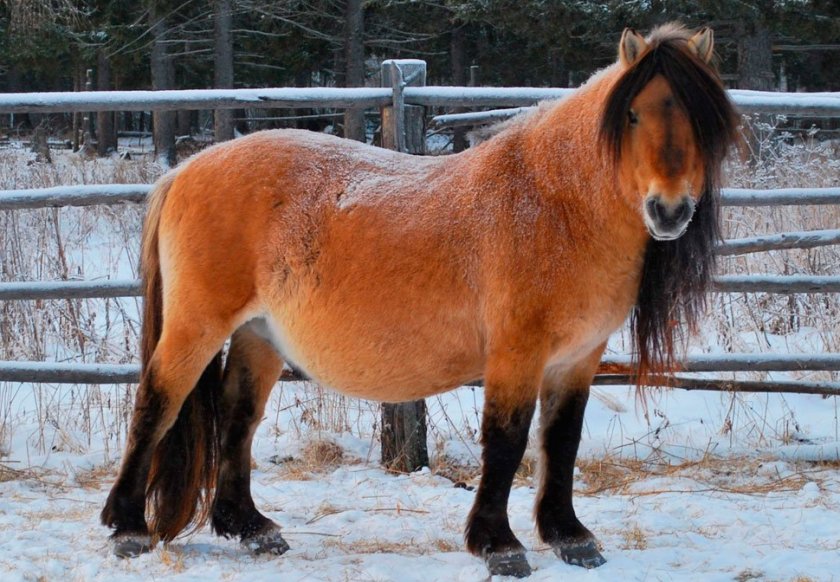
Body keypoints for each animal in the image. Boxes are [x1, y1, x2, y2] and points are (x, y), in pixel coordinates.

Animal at [101, 22, 740, 580]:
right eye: (632, 114)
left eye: (704, 120)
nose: (669, 211)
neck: (553, 203)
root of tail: (186, 170)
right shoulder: (517, 353)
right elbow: (506, 442)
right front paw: (499, 546)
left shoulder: (578, 358)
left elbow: (561, 442)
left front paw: (570, 537)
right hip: (197, 325)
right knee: (157, 403)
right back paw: (129, 527)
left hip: (259, 335)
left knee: (239, 419)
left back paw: (252, 529)